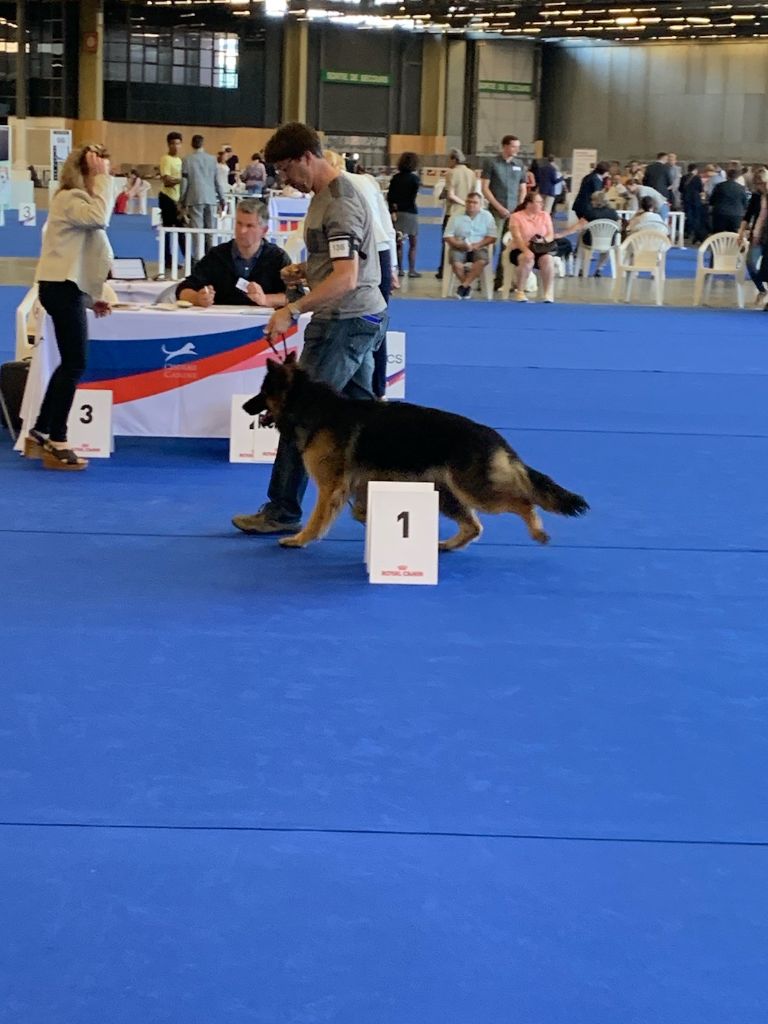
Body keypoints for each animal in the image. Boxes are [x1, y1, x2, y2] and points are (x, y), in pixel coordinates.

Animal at [246, 356, 589, 552]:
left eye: (262, 392)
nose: (245, 406)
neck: (313, 407)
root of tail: (492, 435)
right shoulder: (359, 485)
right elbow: (360, 511)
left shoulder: (331, 487)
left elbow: (318, 518)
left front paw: (300, 539)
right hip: (447, 494)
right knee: (474, 526)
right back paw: (447, 545)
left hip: (476, 491)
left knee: (523, 502)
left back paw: (537, 531)